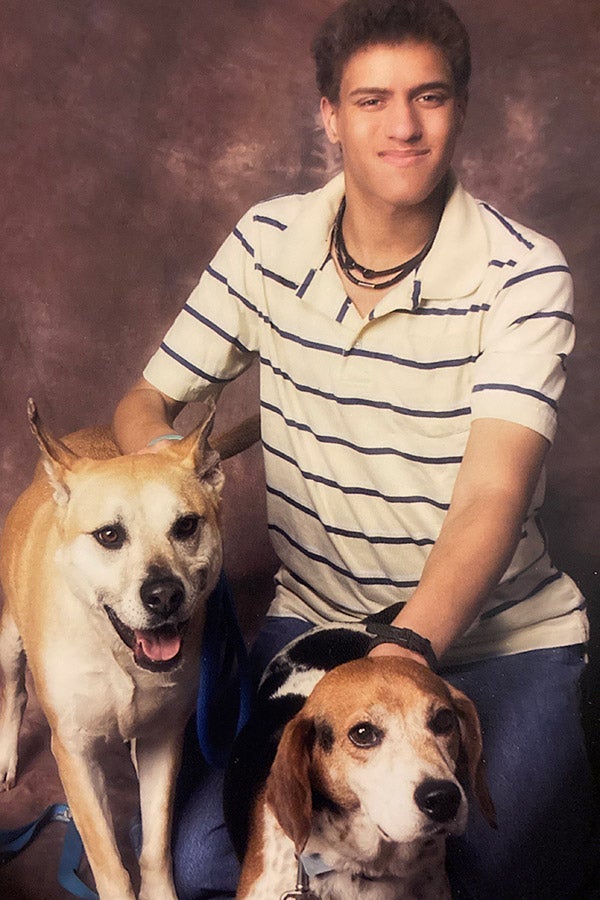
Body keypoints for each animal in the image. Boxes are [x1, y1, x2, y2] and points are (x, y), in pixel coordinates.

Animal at [0, 402, 255, 900]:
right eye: (109, 536)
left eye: (186, 525)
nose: (164, 594)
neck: (116, 654)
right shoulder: (74, 754)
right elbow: (106, 857)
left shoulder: (163, 742)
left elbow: (155, 846)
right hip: (8, 641)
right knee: (14, 692)